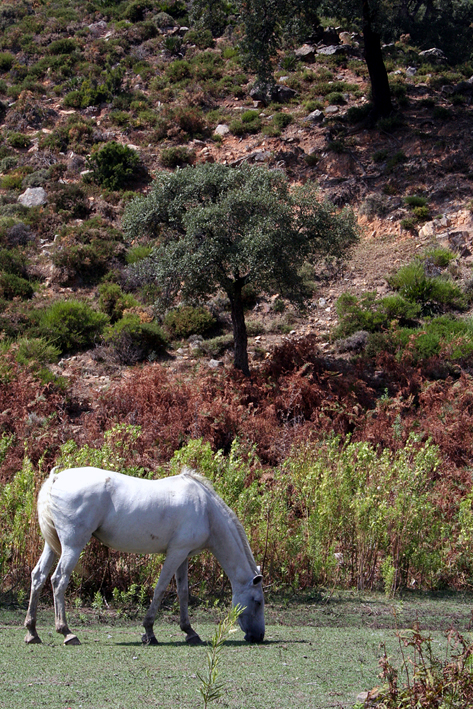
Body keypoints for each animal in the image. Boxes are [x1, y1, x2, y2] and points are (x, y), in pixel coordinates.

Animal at [24, 468, 266, 644]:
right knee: (59, 580)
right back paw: (66, 632)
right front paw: (149, 631)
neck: (205, 510)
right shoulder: (175, 553)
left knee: (38, 577)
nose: (259, 637)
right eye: (258, 601)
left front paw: (189, 631)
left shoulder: (183, 555)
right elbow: (160, 589)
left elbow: (183, 593)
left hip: (53, 546)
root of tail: (56, 478)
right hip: (72, 545)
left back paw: (32, 632)